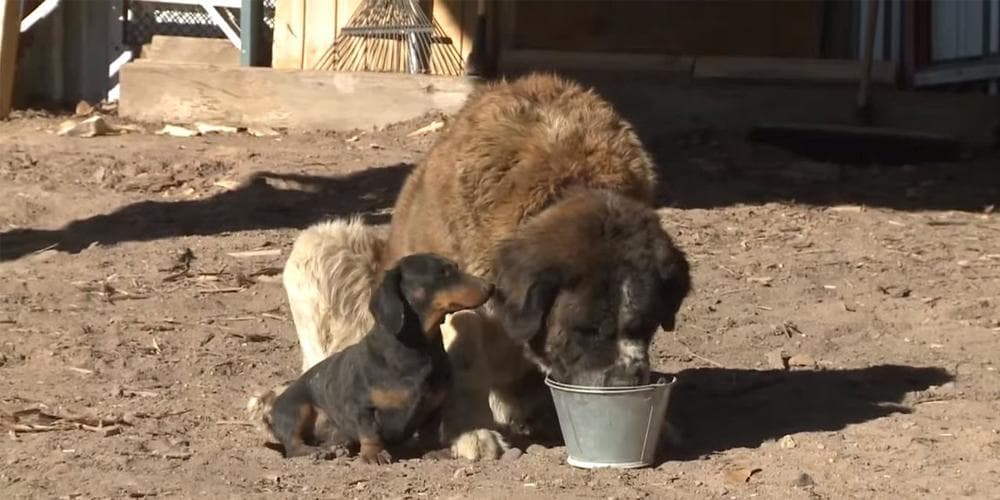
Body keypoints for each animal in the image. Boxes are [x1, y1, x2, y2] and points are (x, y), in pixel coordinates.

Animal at [258, 72, 692, 458]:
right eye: (584, 331)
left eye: (647, 326)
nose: (626, 380)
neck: (566, 180)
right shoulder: (462, 294)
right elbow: (466, 360)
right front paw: (470, 432)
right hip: (322, 245)